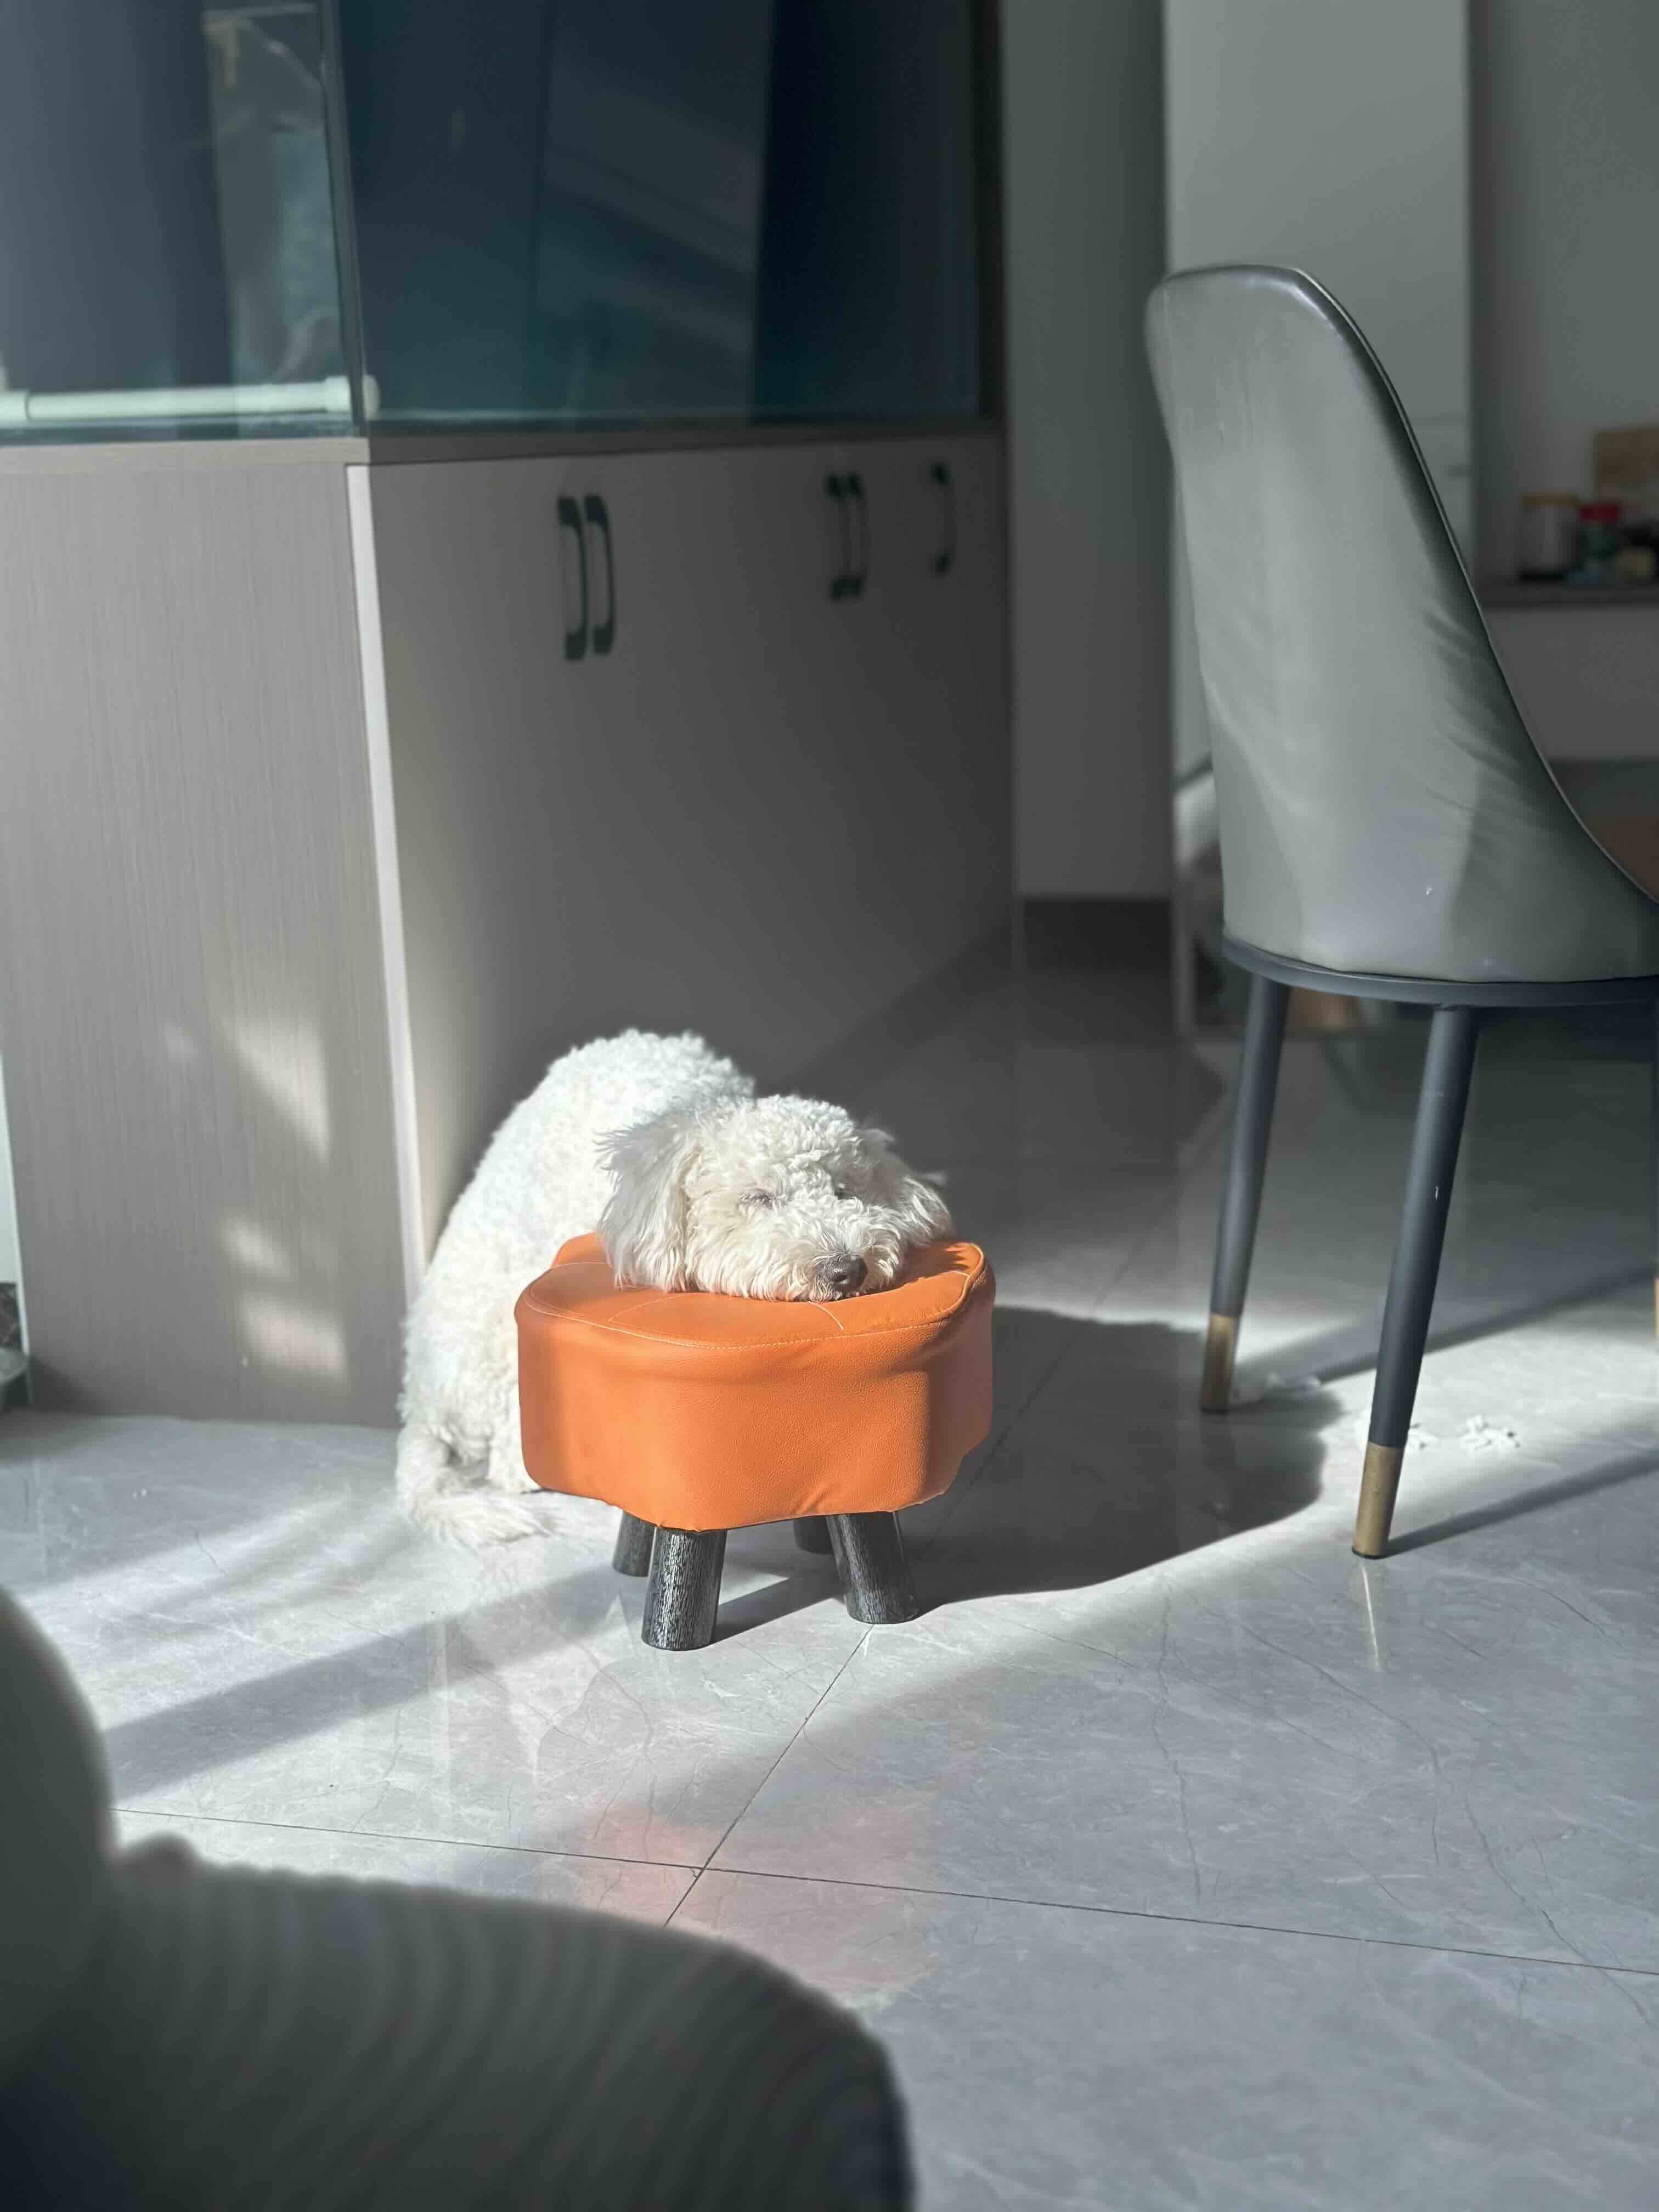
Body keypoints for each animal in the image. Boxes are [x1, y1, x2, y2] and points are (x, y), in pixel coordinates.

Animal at [395, 1030, 951, 1546]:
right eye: (759, 1198)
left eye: (843, 1191)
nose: (845, 1270)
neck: (685, 1107)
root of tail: (419, 1403)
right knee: (511, 1457)